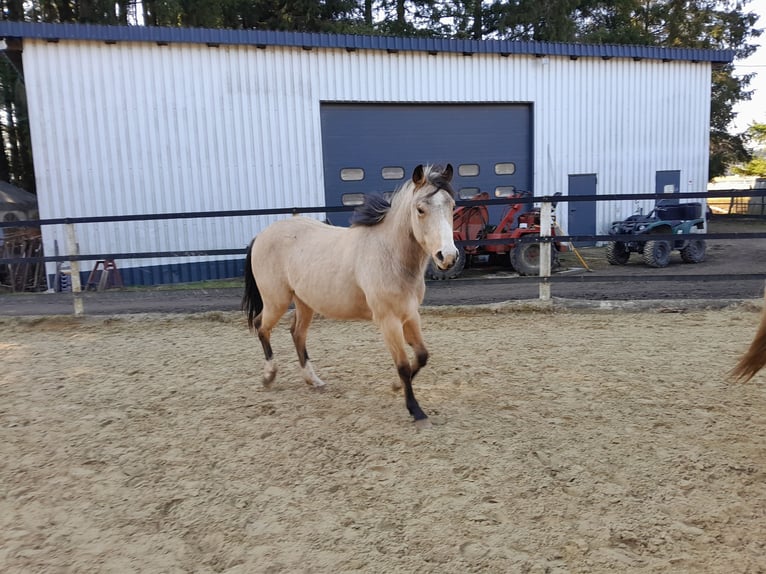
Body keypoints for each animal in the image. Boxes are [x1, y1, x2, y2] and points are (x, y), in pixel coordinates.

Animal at [242, 164, 458, 428]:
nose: (448, 257)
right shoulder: (388, 321)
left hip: (304, 302)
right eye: (420, 209)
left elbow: (422, 356)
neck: (389, 255)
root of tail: (261, 235)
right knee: (261, 326)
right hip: (277, 300)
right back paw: (269, 376)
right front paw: (416, 411)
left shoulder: (409, 315)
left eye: (452, 205)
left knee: (297, 334)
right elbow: (404, 365)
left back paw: (313, 380)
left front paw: (395, 386)